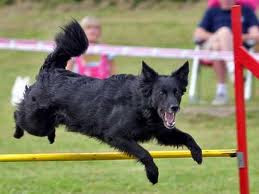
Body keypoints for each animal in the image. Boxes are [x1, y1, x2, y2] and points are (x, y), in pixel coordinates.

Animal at [13, 20, 203, 184]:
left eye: (176, 92)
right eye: (161, 93)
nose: (174, 107)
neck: (140, 103)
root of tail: (50, 71)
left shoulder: (161, 132)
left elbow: (187, 136)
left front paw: (197, 153)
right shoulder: (115, 134)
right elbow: (144, 153)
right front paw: (153, 174)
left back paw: (51, 135)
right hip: (35, 123)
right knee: (17, 114)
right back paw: (17, 133)